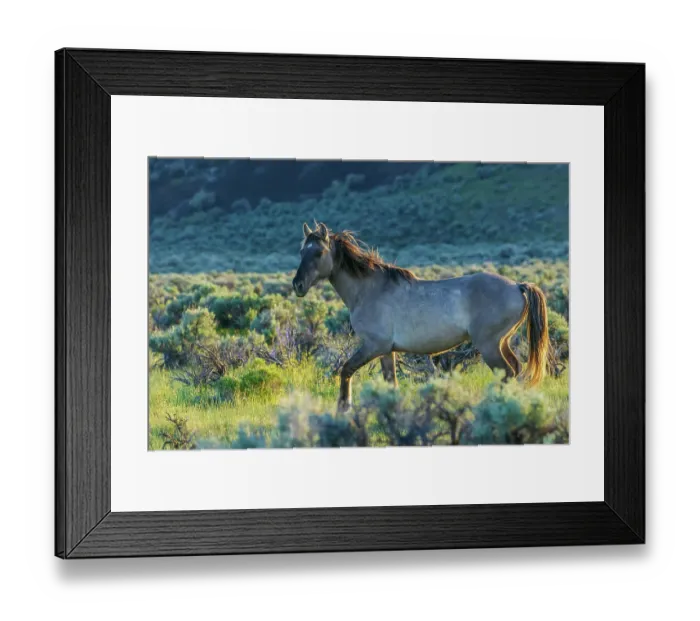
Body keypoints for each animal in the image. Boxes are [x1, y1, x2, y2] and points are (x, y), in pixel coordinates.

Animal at [292, 222, 550, 411]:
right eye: (302, 251)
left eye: (318, 252)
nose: (298, 285)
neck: (369, 289)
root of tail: (517, 286)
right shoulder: (386, 351)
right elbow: (391, 383)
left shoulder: (374, 346)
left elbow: (346, 370)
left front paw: (344, 408)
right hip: (502, 342)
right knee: (515, 369)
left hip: (489, 345)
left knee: (507, 373)